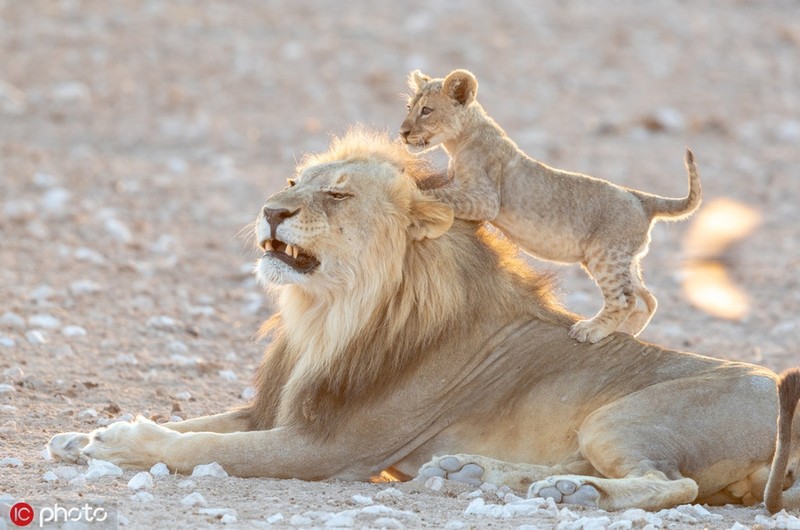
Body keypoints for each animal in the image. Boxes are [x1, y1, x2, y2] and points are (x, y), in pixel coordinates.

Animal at [51, 127, 800, 512]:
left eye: (337, 194)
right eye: (293, 182)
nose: (270, 210)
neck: (329, 314)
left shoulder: (331, 448)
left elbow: (202, 448)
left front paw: (122, 442)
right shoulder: (281, 407)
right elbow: (200, 424)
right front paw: (83, 434)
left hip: (621, 416)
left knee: (669, 484)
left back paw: (572, 493)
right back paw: (480, 476)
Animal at [400, 69, 700, 342]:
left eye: (426, 110)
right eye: (409, 107)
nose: (403, 133)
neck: (460, 140)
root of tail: (641, 198)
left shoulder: (486, 199)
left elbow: (439, 194)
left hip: (606, 255)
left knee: (625, 300)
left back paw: (592, 330)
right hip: (624, 258)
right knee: (648, 299)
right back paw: (626, 332)